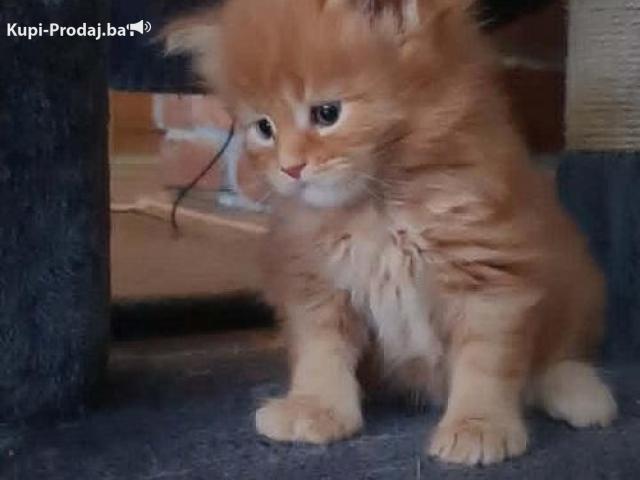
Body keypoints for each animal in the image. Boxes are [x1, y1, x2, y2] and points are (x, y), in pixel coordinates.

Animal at [164, 0, 618, 465]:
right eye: (263, 128)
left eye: (327, 113)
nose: (290, 168)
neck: (379, 207)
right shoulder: (312, 279)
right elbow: (320, 350)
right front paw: (316, 406)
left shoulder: (490, 271)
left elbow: (487, 361)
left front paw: (478, 424)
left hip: (577, 279)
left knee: (559, 354)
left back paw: (580, 394)